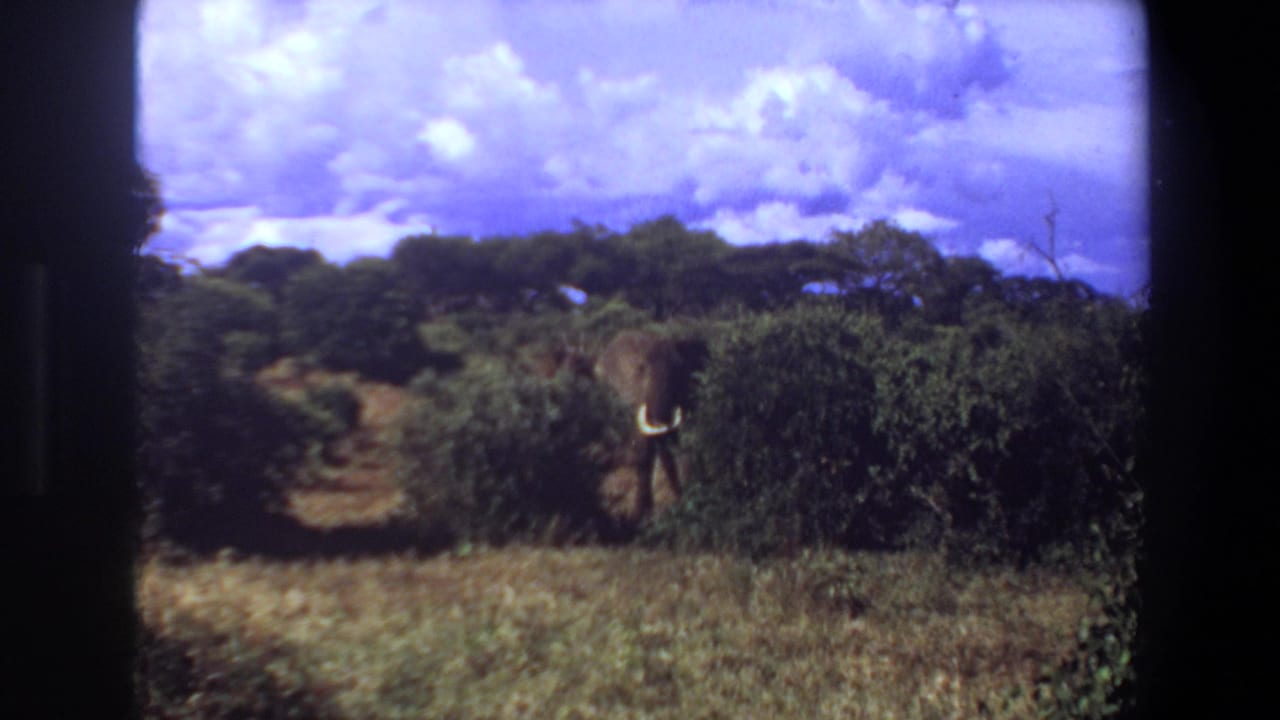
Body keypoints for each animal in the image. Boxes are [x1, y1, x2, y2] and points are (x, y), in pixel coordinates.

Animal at [593, 330, 707, 529]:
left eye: (679, 368)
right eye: (641, 369)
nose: (682, 498)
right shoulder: (633, 398)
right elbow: (644, 451)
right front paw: (642, 519)